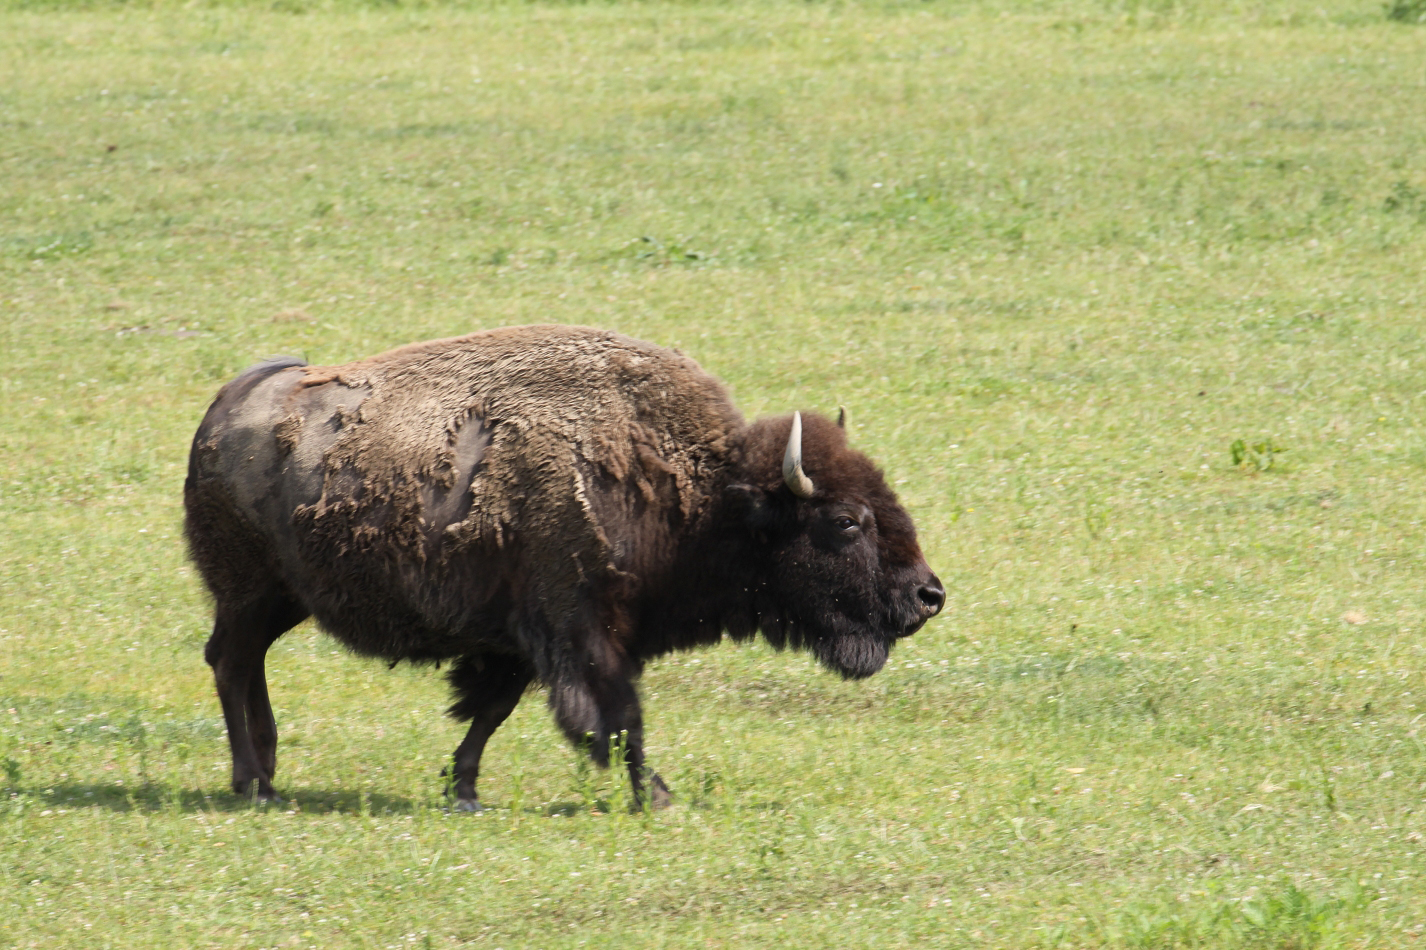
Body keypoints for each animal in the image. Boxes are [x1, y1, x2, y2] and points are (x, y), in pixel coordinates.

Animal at [186, 325, 946, 804]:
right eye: (844, 522)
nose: (928, 595)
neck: (702, 492)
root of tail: (222, 408)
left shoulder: (522, 641)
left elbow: (493, 711)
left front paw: (463, 787)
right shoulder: (581, 630)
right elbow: (617, 716)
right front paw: (657, 795)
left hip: (285, 599)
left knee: (244, 663)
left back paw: (267, 771)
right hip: (250, 592)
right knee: (231, 662)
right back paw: (253, 783)